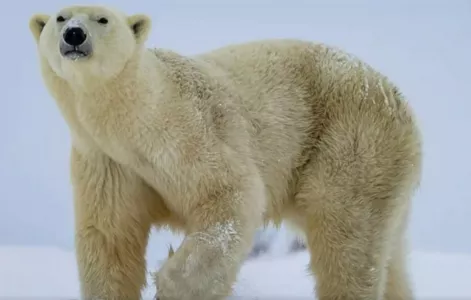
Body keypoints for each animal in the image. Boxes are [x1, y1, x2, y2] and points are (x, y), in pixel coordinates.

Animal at [29, 4, 424, 300]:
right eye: (61, 17)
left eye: (102, 19)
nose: (74, 35)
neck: (134, 120)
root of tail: (400, 102)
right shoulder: (107, 162)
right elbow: (110, 237)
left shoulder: (188, 131)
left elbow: (231, 195)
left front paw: (170, 283)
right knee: (388, 254)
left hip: (352, 144)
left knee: (346, 241)